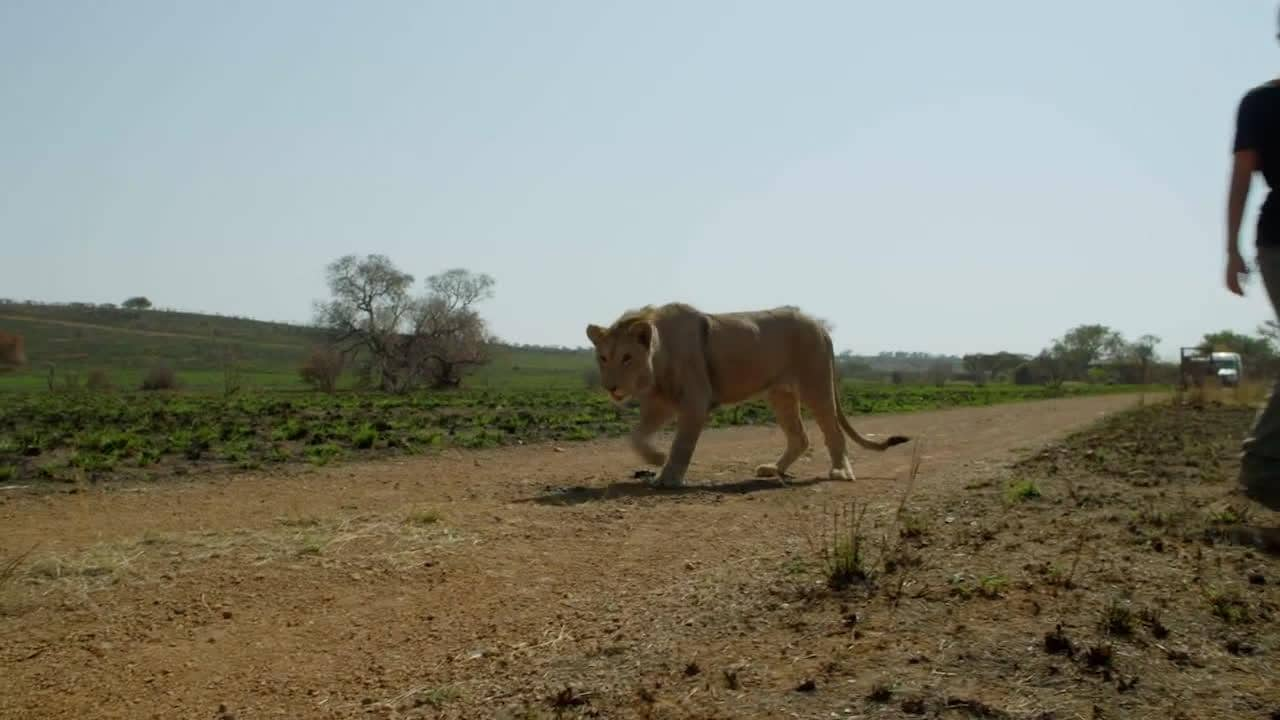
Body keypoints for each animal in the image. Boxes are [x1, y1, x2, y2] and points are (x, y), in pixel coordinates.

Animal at [586, 299, 906, 484]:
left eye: (627, 357)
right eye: (603, 357)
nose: (611, 386)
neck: (657, 358)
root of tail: (820, 326)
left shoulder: (695, 401)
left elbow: (682, 445)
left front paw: (668, 476)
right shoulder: (660, 403)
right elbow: (636, 436)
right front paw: (655, 458)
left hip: (815, 385)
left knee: (833, 431)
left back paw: (840, 472)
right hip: (780, 395)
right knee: (800, 437)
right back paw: (773, 469)